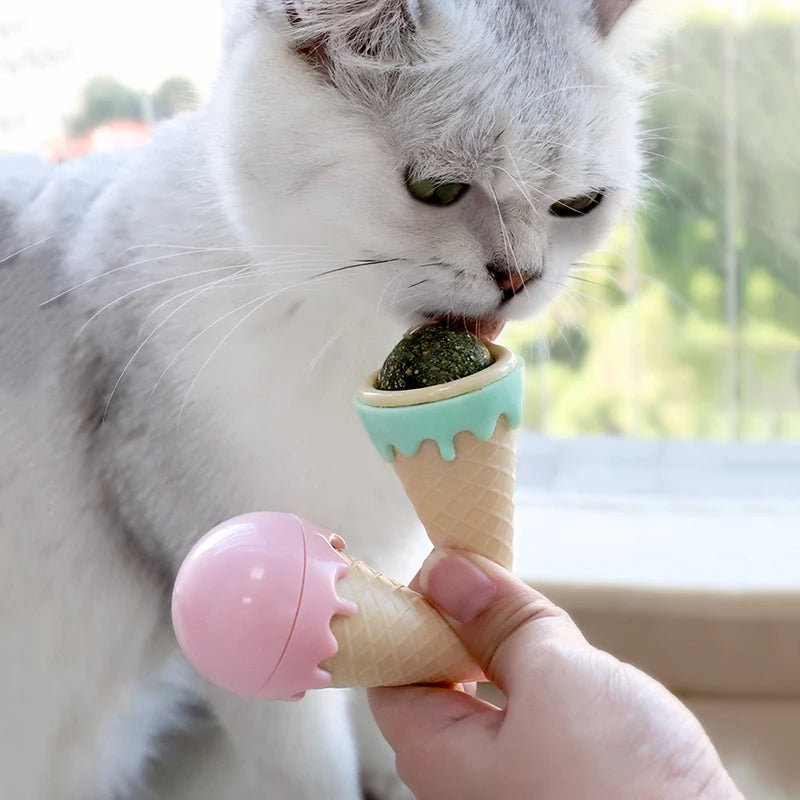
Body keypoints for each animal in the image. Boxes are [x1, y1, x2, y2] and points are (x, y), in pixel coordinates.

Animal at [1, 1, 644, 800]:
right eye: (435, 187)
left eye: (578, 205)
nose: (520, 276)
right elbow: (317, 767)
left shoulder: (384, 559)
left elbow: (384, 717)